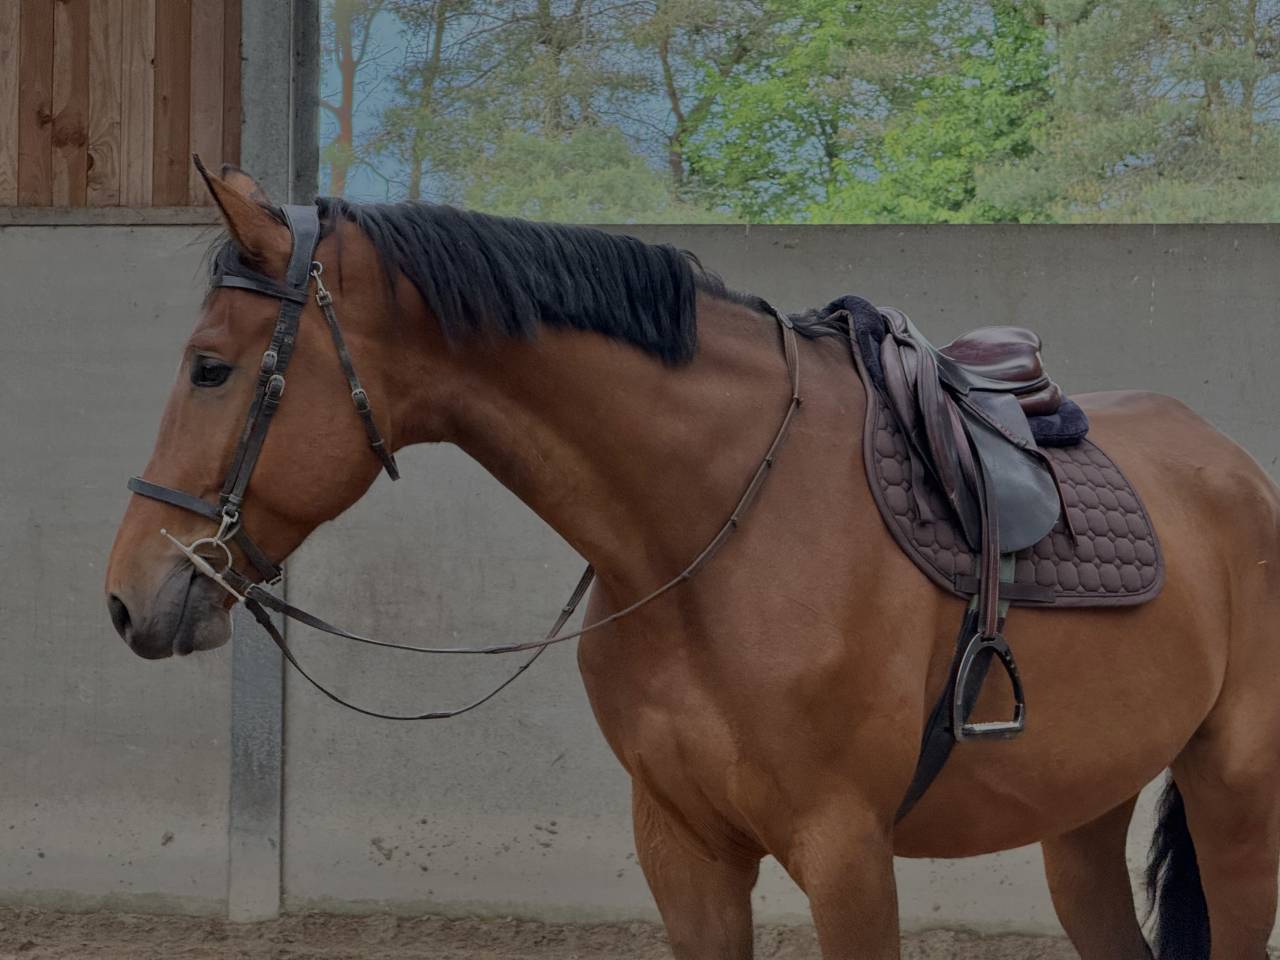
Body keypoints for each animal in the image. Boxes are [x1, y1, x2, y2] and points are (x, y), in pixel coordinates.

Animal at [104, 162, 1280, 959]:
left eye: (210, 368)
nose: (127, 598)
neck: (719, 529)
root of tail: (1236, 471)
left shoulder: (847, 854)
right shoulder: (683, 849)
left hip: (1235, 797)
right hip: (1080, 819)